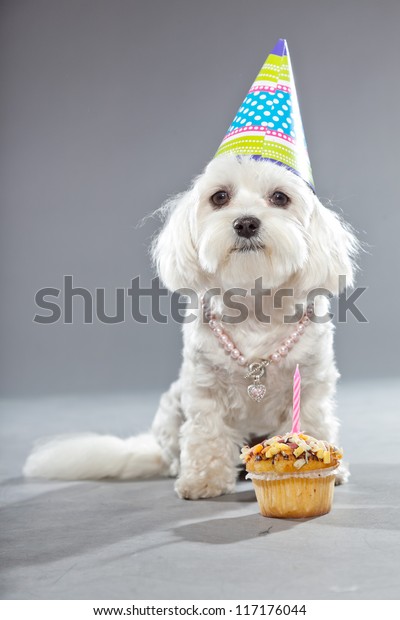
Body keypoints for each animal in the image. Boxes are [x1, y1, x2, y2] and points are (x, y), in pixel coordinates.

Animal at [23, 154, 358, 498]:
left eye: (280, 197)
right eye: (220, 197)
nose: (246, 223)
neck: (254, 306)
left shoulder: (311, 383)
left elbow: (312, 420)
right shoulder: (203, 387)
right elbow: (206, 432)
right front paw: (204, 480)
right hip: (171, 409)